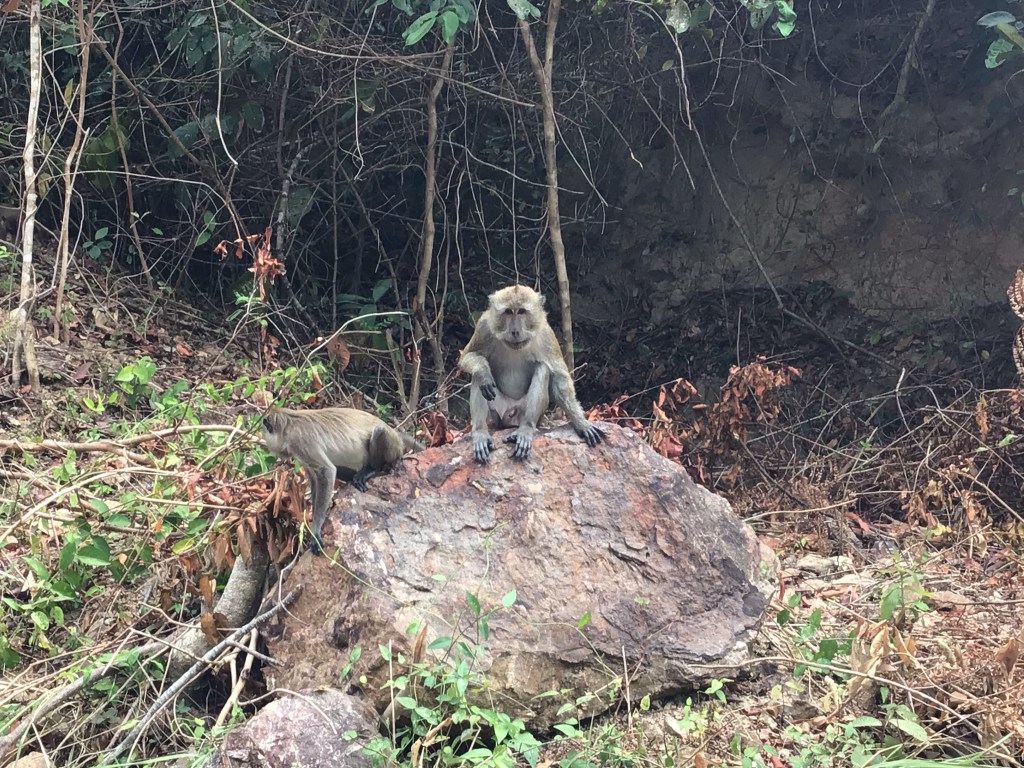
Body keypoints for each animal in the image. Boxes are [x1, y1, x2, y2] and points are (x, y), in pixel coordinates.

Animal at [262, 406, 420, 554]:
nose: (268, 444)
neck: (289, 422)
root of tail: (395, 432)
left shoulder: (298, 442)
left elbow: (327, 472)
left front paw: (316, 531)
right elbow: (315, 478)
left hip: (393, 448)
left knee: (379, 433)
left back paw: (372, 469)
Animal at [458, 284, 604, 463]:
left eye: (521, 311)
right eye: (508, 312)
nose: (515, 331)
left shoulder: (547, 334)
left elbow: (559, 377)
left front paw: (581, 423)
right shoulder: (484, 326)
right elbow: (468, 356)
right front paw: (484, 373)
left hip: (529, 413)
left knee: (543, 368)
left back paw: (525, 429)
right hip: (497, 415)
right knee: (478, 377)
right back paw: (480, 432)